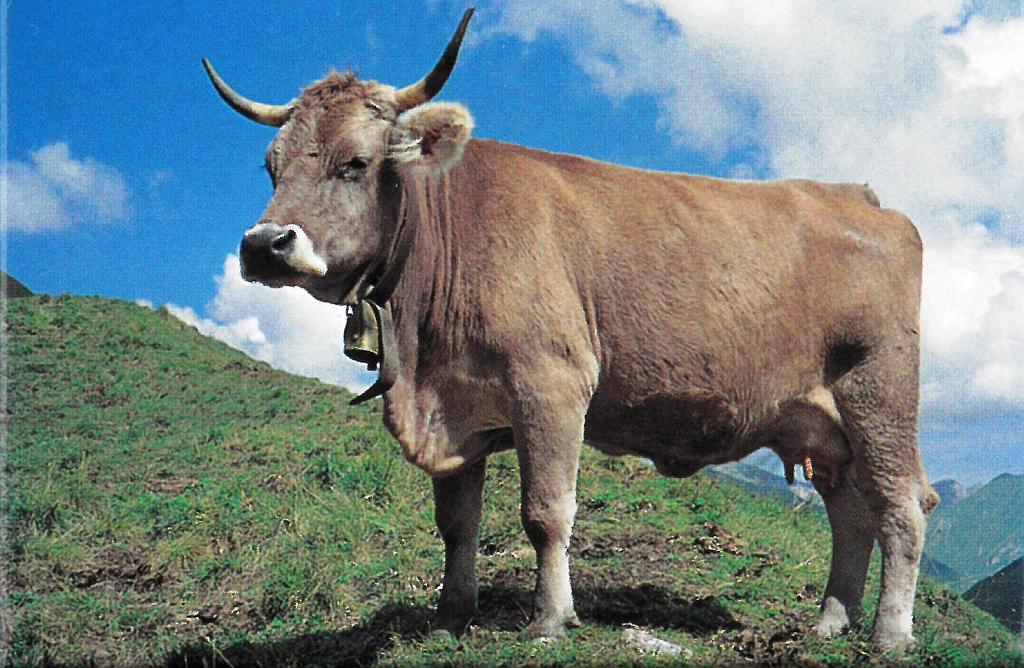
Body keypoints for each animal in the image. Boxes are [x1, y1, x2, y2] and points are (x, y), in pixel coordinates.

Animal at [203, 8, 938, 649]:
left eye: (355, 162)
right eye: (271, 167)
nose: (264, 245)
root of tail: (858, 196)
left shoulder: (551, 383)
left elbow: (546, 511)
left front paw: (550, 618)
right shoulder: (456, 409)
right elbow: (456, 525)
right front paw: (450, 618)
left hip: (879, 394)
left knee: (902, 505)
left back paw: (889, 634)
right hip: (823, 425)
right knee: (850, 513)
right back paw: (829, 623)